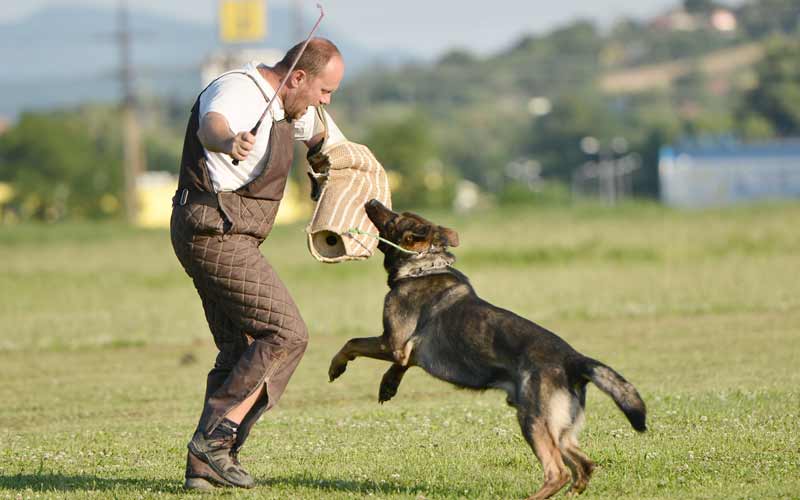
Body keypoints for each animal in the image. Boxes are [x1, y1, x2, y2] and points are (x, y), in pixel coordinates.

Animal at [328, 200, 648, 500]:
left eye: (394, 219)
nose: (371, 201)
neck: (422, 266)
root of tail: (574, 360)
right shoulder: (405, 350)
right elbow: (399, 366)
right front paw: (388, 385)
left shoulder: (391, 342)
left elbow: (351, 342)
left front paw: (336, 366)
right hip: (560, 430)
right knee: (584, 466)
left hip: (534, 421)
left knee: (558, 472)